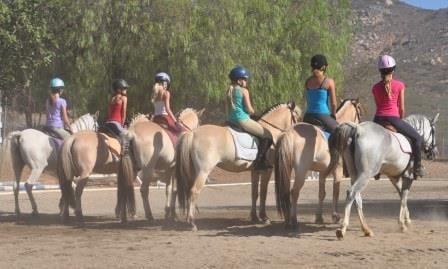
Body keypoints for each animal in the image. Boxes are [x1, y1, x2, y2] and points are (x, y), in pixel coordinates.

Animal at [176, 102, 300, 230]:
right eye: (297, 117)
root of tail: (192, 133)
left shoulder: (255, 171)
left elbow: (254, 193)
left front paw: (254, 217)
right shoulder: (267, 171)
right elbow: (263, 193)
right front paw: (264, 217)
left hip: (193, 170)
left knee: (188, 191)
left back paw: (188, 219)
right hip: (203, 171)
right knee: (194, 191)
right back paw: (192, 223)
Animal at [272, 97, 364, 229]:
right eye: (360, 113)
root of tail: (288, 133)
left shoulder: (323, 172)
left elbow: (322, 193)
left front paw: (319, 217)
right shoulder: (337, 170)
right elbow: (336, 191)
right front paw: (335, 216)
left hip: (287, 169)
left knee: (285, 192)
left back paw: (287, 219)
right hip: (301, 172)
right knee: (294, 192)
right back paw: (293, 221)